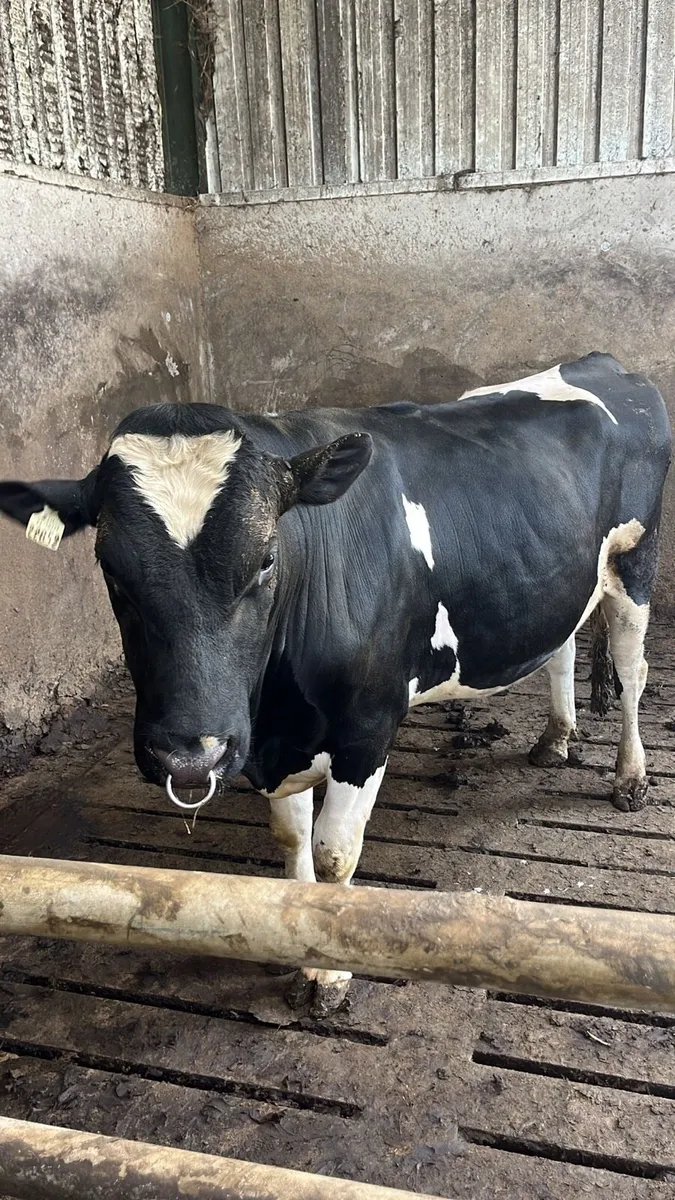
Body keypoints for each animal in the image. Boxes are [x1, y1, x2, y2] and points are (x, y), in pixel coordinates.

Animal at [0, 352, 670, 1014]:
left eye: (266, 559)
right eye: (110, 569)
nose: (190, 757)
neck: (276, 715)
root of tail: (604, 362)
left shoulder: (365, 730)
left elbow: (333, 854)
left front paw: (330, 977)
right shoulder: (271, 745)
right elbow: (291, 839)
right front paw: (298, 951)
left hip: (635, 565)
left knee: (633, 672)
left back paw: (630, 778)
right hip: (564, 579)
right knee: (561, 647)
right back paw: (556, 738)